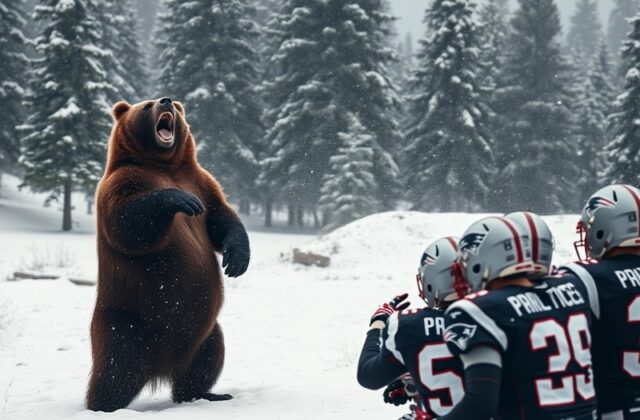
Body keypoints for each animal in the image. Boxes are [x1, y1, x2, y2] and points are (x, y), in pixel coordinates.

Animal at [87, 97, 250, 412]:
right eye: (147, 105)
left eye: (173, 103)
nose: (165, 100)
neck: (164, 166)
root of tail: (161, 369)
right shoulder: (122, 183)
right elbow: (129, 222)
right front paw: (181, 200)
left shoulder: (202, 181)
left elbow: (222, 218)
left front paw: (237, 260)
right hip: (127, 320)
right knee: (117, 367)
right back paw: (102, 406)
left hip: (203, 333)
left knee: (208, 357)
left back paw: (206, 394)